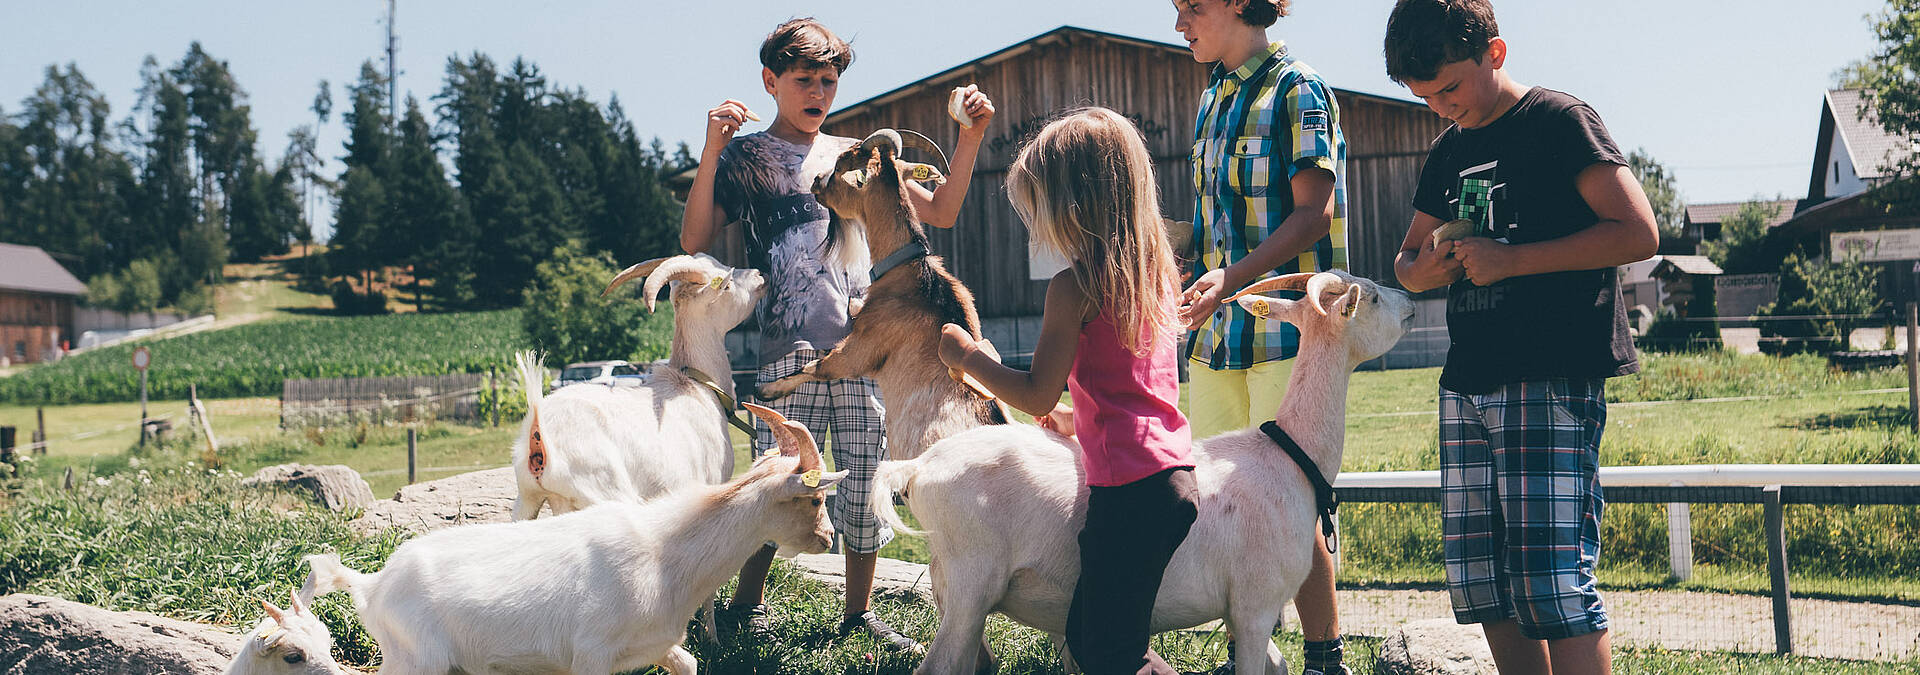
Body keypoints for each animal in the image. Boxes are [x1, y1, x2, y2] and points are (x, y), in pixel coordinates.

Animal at [299, 402, 840, 671]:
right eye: (815, 500)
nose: (830, 539)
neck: (663, 553)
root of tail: (371, 585)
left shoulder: (651, 646)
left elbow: (688, 664)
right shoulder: (591, 655)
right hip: (417, 662)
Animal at [510, 253, 764, 517]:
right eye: (727, 284)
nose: (758, 274)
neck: (697, 385)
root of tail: (539, 435)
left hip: (527, 502)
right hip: (605, 492)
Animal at [752, 127, 1013, 458]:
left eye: (841, 165)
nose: (816, 180)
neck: (910, 272)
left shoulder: (860, 347)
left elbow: (817, 366)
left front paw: (767, 390)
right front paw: (853, 302)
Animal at [871, 270, 1413, 675]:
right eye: (1373, 297)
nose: (1410, 300)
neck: (1288, 458)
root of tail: (918, 467)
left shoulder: (1238, 611)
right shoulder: (1255, 604)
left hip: (953, 587)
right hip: (971, 581)